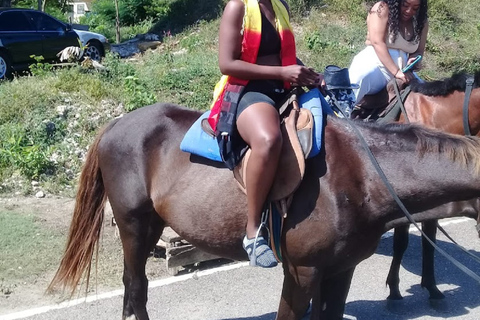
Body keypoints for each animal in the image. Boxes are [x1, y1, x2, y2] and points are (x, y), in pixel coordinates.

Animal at [47, 103, 480, 320]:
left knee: (130, 285)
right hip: (133, 225)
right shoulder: (302, 273)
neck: (363, 177)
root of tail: (115, 124)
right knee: (137, 288)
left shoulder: (340, 270)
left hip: (150, 227)